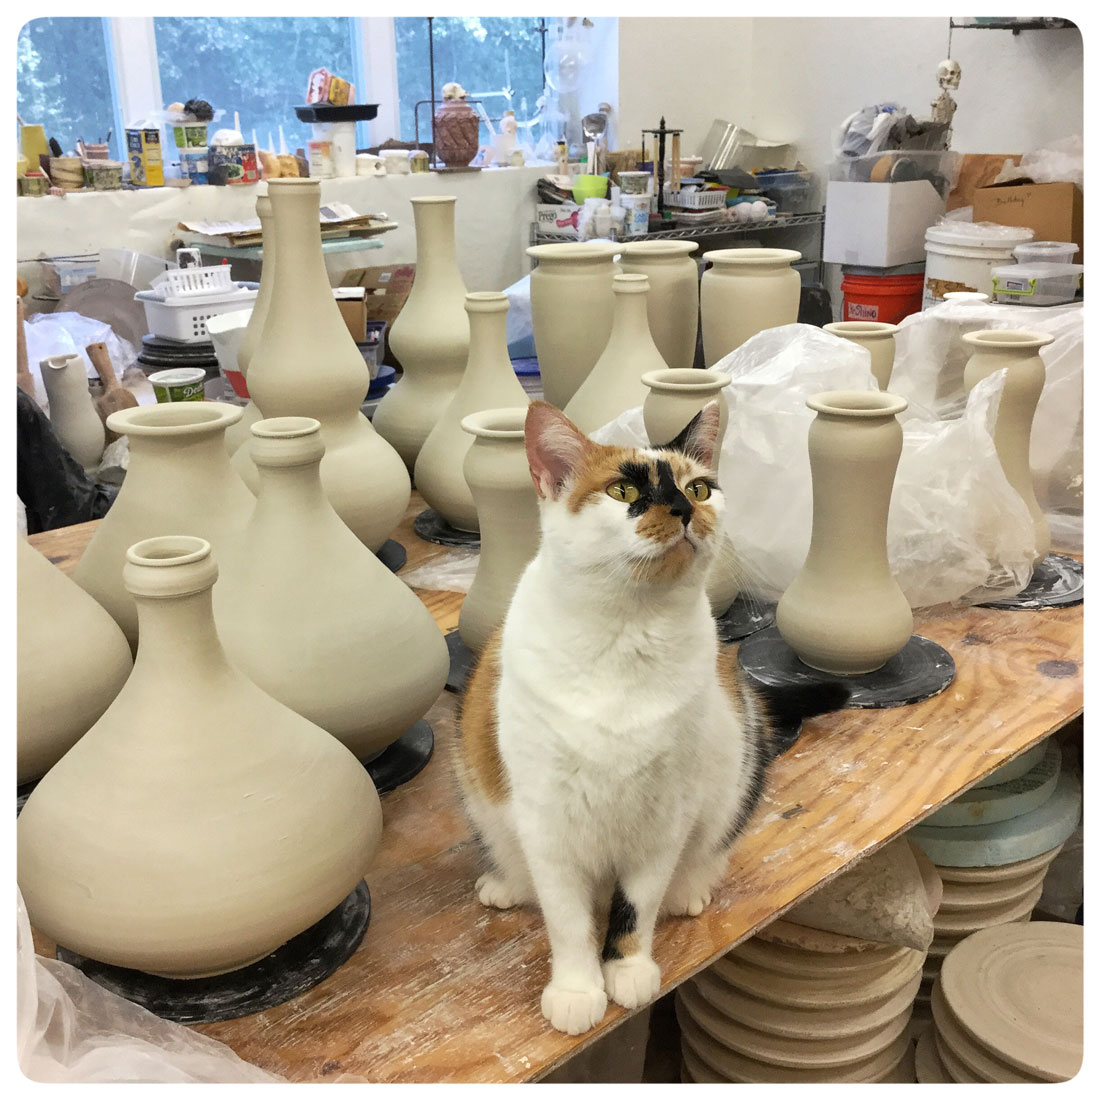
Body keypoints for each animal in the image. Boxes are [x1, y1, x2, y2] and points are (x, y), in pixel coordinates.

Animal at [453, 400, 840, 1034]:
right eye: (623, 489)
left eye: (699, 487)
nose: (683, 509)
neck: (625, 633)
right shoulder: (548, 822)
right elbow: (568, 920)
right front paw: (578, 989)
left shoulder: (664, 818)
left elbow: (636, 906)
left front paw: (628, 972)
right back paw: (506, 884)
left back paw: (689, 891)